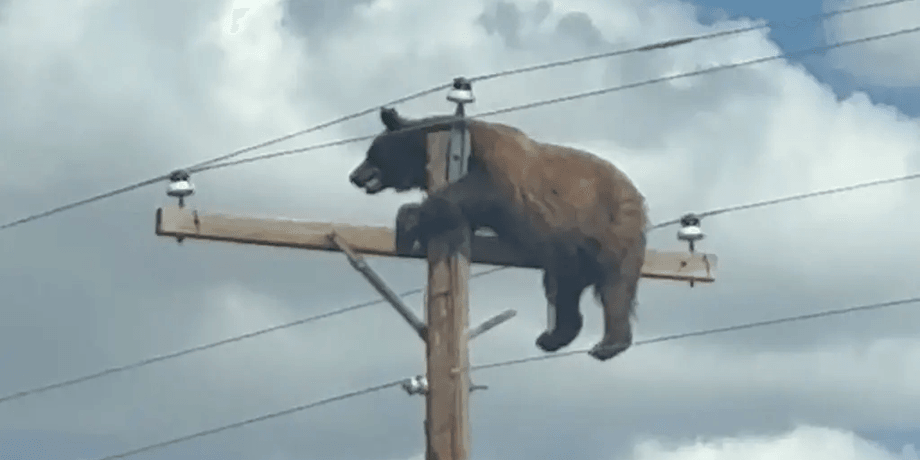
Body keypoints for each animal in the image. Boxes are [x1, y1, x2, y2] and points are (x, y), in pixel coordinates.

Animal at [348, 107, 649, 361]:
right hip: (569, 251)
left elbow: (479, 190)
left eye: (371, 152)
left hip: (611, 227)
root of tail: (637, 196)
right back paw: (552, 337)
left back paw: (608, 344)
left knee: (615, 286)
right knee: (564, 289)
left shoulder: (498, 166)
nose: (354, 176)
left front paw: (407, 220)